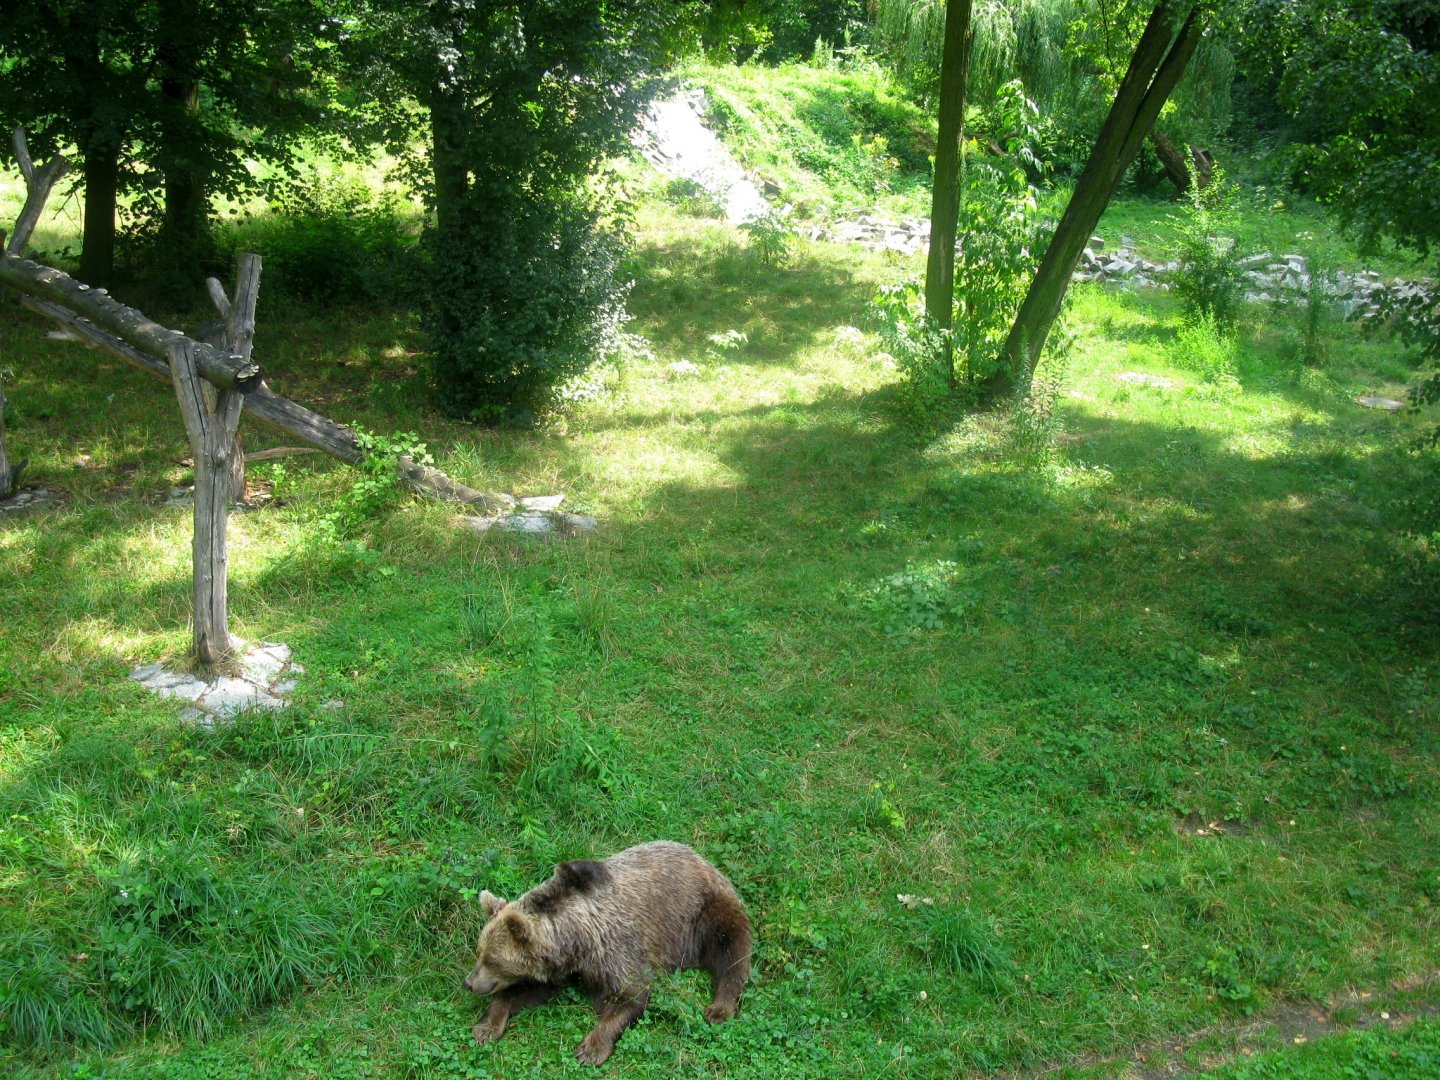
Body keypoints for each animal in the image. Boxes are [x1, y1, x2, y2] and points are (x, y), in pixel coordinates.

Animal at [462, 840, 751, 1066]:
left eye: (492, 959)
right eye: (480, 951)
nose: (469, 983)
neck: (576, 942)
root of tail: (700, 857)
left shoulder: (617, 949)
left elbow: (631, 996)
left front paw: (591, 1049)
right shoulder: (559, 968)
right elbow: (526, 990)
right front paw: (486, 1027)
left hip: (705, 911)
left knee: (732, 951)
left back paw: (719, 1007)